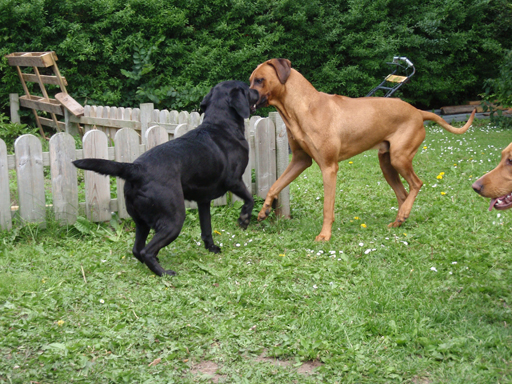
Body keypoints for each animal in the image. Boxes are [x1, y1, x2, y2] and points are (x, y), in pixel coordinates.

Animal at [74, 81, 258, 276]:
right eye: (247, 88)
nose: (257, 91)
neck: (221, 125)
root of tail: (136, 169)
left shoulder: (203, 200)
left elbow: (206, 228)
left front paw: (211, 248)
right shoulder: (234, 180)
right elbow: (250, 199)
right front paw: (244, 220)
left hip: (141, 222)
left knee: (137, 249)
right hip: (173, 219)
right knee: (146, 251)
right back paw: (164, 273)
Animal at [249, 58, 476, 240]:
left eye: (259, 80)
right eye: (251, 80)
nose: (245, 95)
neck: (304, 107)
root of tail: (418, 112)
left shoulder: (329, 167)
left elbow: (327, 207)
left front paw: (325, 235)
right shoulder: (300, 160)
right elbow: (275, 185)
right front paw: (264, 210)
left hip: (399, 157)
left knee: (417, 183)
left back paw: (403, 214)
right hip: (386, 163)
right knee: (403, 193)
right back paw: (400, 219)